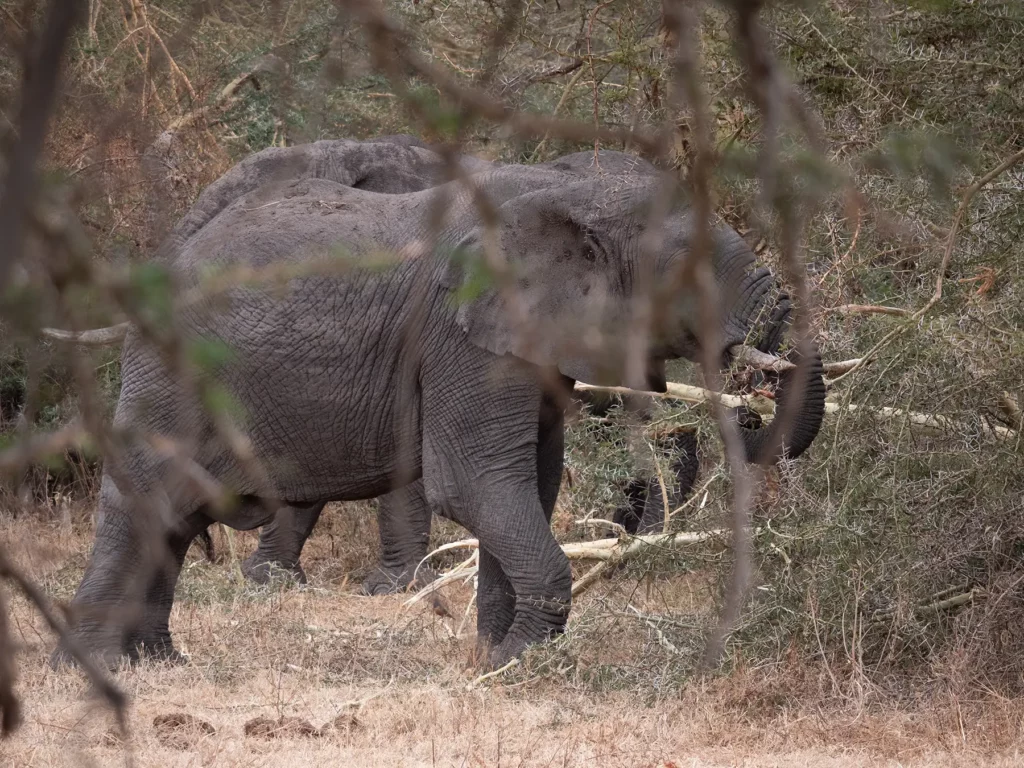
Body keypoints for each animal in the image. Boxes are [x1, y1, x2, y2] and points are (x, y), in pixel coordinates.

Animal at [53, 143, 827, 672]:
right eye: (690, 275)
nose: (753, 386)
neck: (570, 196)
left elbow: (529, 487)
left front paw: (493, 659)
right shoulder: (459, 336)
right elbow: (474, 485)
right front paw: (516, 665)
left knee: (175, 516)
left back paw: (158, 665)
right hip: (173, 374)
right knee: (146, 501)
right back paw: (93, 670)